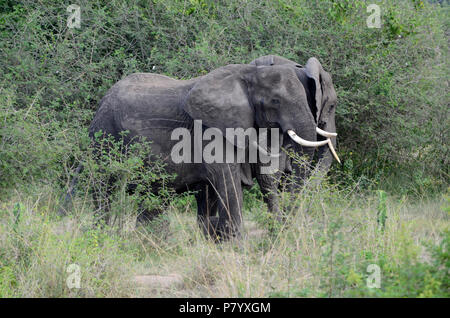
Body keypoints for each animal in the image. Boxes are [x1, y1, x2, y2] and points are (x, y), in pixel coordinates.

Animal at [84, 63, 334, 240]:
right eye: (275, 100)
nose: (278, 236)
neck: (250, 74)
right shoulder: (210, 131)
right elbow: (227, 180)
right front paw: (237, 246)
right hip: (103, 132)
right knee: (103, 187)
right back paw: (101, 237)